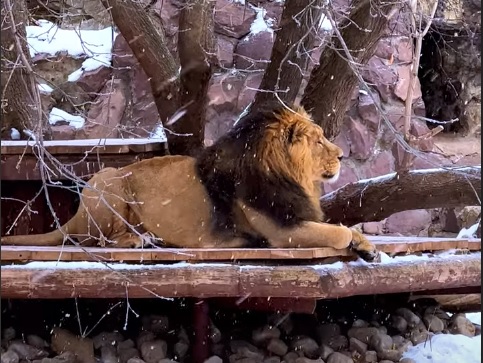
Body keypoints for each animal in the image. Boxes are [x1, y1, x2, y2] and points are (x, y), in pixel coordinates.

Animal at [0, 104, 378, 260]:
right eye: (319, 140)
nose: (342, 155)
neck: (288, 176)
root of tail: (75, 216)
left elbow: (346, 227)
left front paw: (367, 246)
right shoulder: (281, 231)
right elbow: (338, 232)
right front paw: (356, 244)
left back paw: (152, 239)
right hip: (108, 179)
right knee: (94, 240)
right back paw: (137, 240)